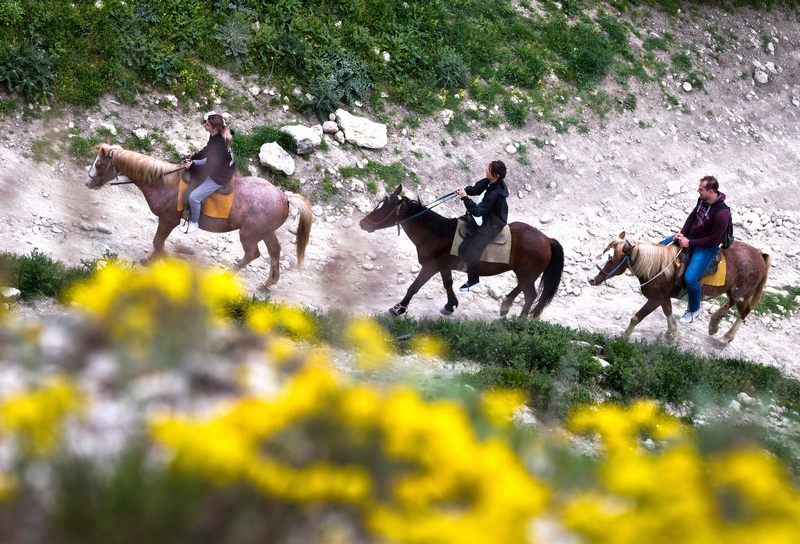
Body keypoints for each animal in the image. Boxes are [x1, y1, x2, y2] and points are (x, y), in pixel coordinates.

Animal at [86, 141, 310, 288]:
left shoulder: (168, 220)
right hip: (265, 232)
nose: (88, 183)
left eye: (98, 164)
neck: (165, 182)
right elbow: (157, 244)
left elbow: (158, 243)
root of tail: (284, 196)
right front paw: (152, 260)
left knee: (252, 254)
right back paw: (269, 282)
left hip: (249, 234)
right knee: (275, 251)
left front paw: (165, 263)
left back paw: (228, 276)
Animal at [360, 185, 564, 316]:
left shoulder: (430, 267)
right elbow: (448, 284)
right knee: (522, 288)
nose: (363, 223)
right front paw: (450, 306)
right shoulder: (443, 267)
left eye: (384, 208)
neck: (436, 233)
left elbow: (414, 287)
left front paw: (398, 308)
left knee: (530, 295)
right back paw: (506, 305)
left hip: (526, 273)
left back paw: (519, 321)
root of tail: (547, 240)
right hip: (525, 273)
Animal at [588, 232, 768, 346]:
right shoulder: (663, 298)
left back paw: (725, 338)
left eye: (612, 260)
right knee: (730, 303)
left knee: (743, 312)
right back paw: (714, 324)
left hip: (741, 294)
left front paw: (624, 336)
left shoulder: (655, 299)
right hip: (733, 291)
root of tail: (759, 254)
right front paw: (671, 333)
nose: (591, 279)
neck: (657, 267)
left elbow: (636, 317)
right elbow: (668, 312)